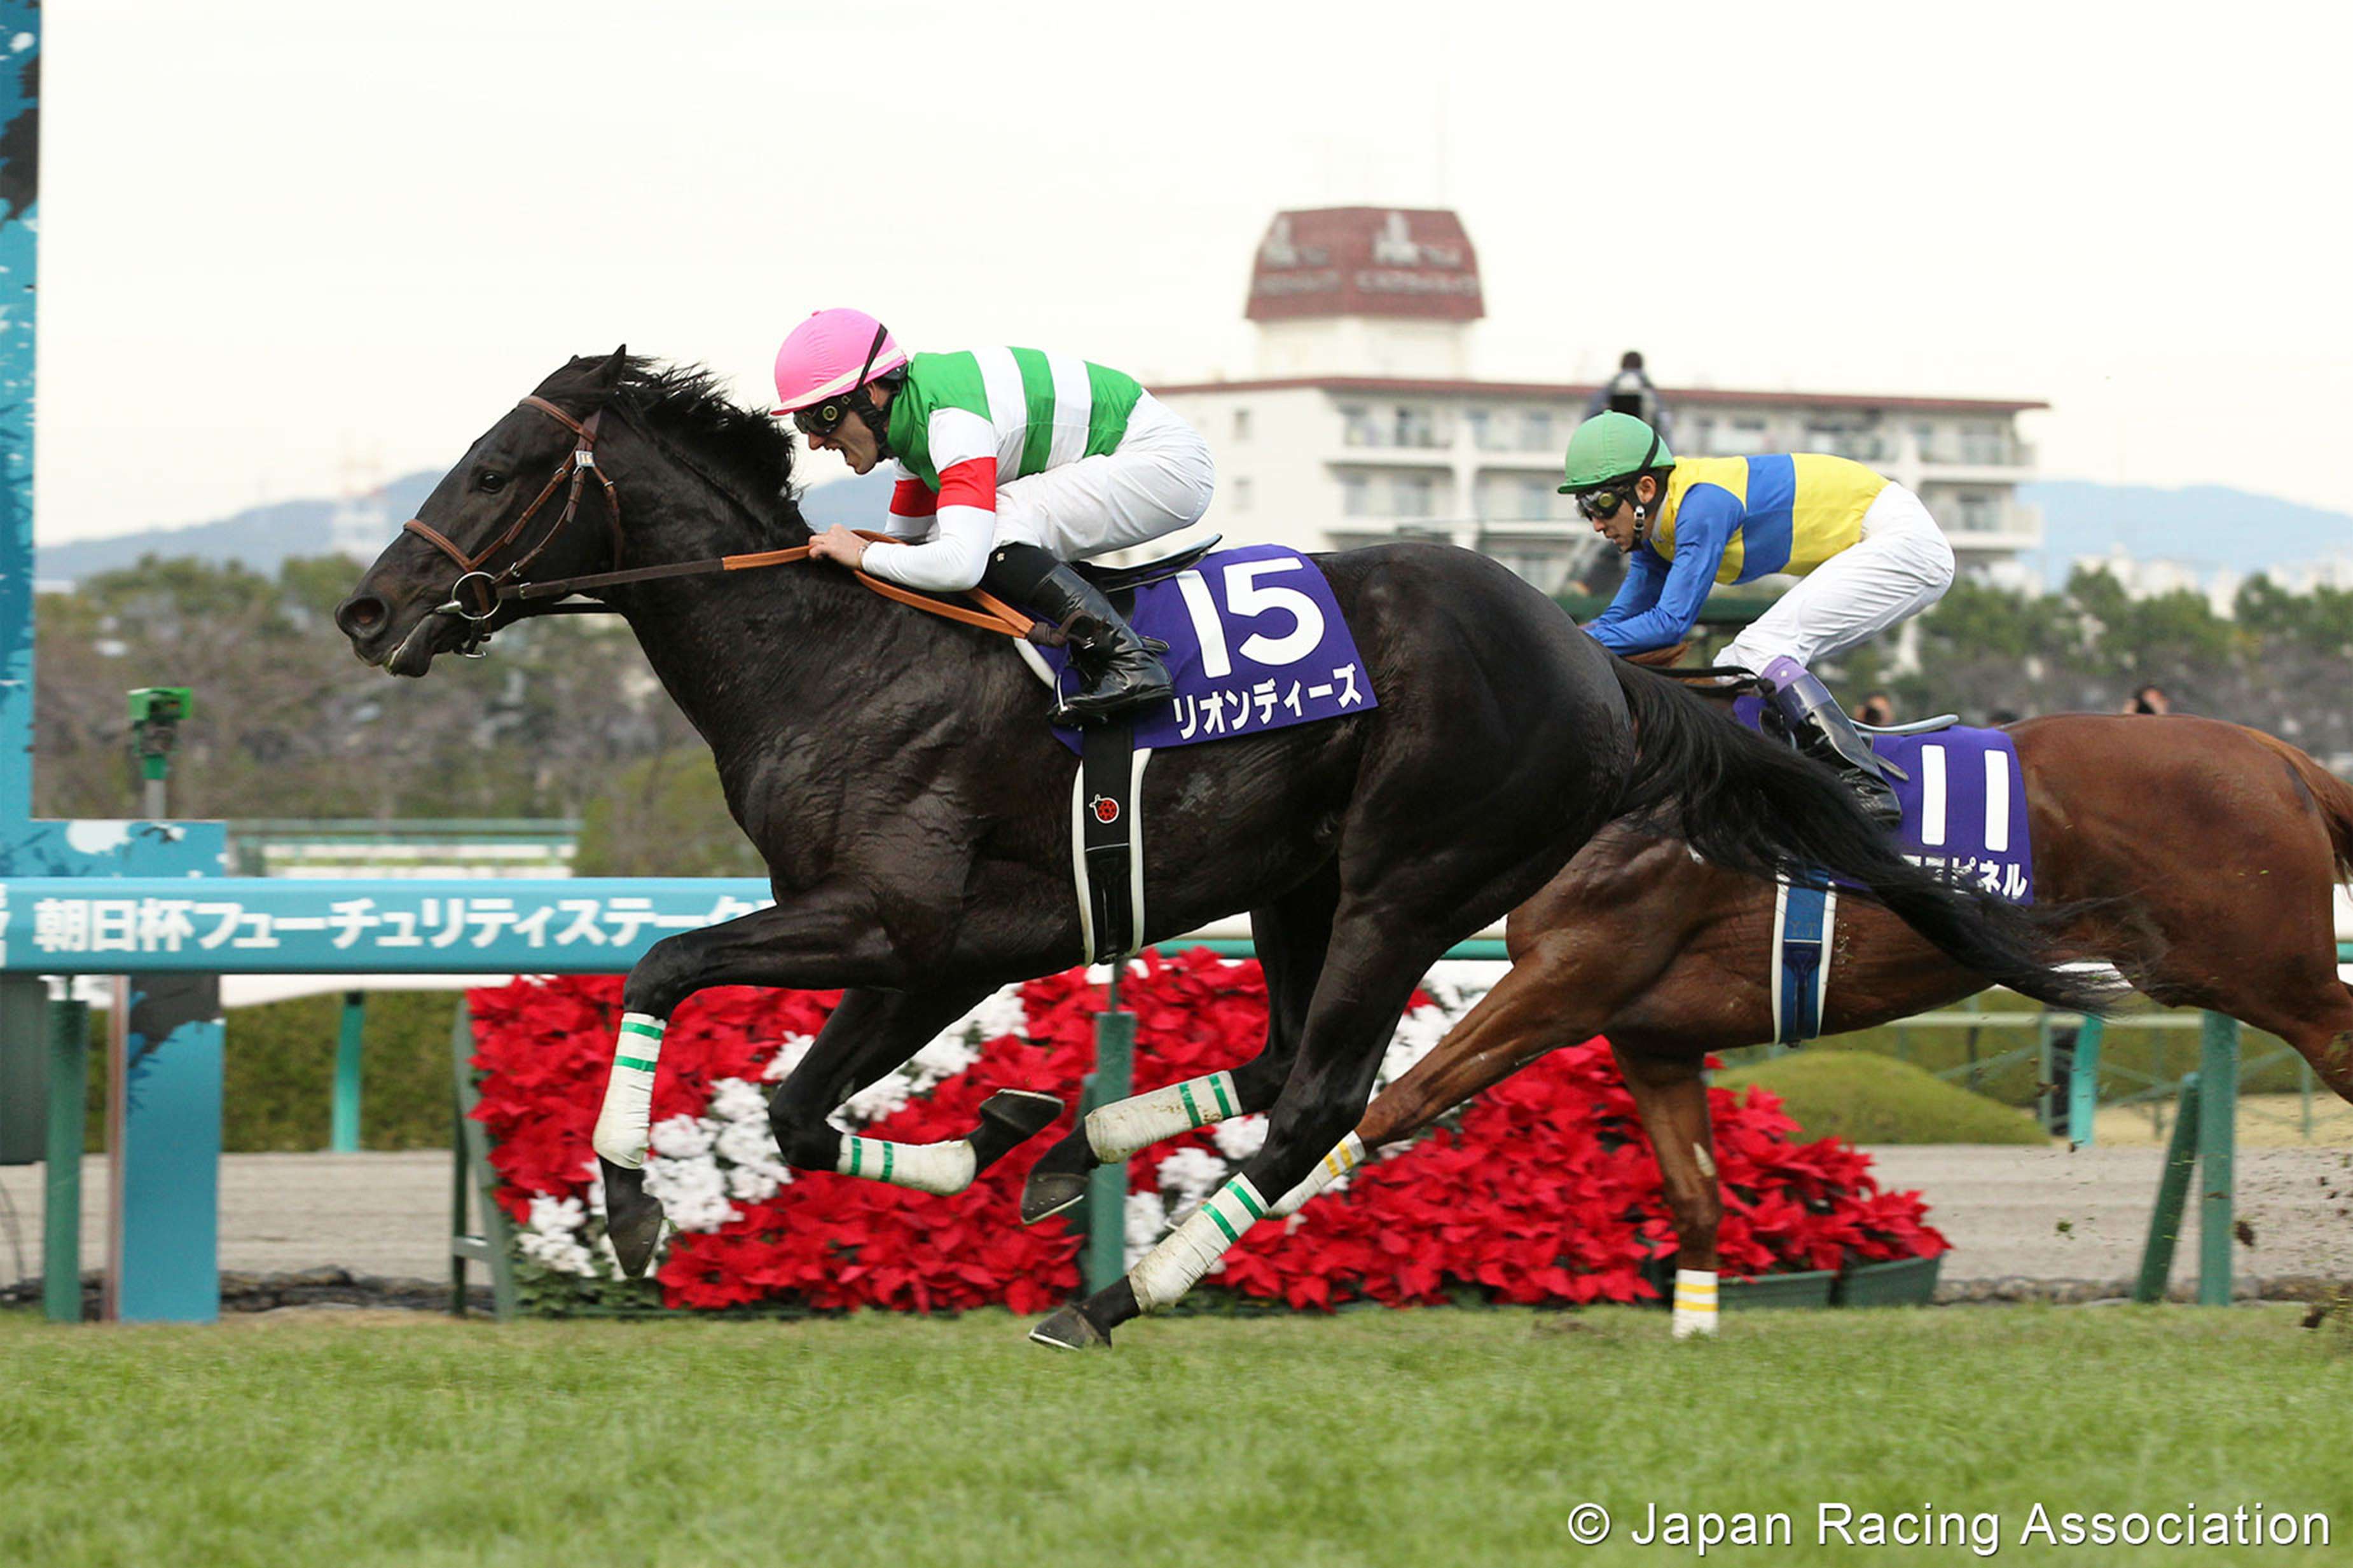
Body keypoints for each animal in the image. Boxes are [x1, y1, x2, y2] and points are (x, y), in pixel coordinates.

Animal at [341, 350, 2108, 1346]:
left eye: (496, 468)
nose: (368, 611)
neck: (833, 657)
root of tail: (1599, 665)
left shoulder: (883, 916)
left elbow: (660, 963)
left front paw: (629, 1200)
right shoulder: (938, 948)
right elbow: (788, 1107)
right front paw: (985, 1140)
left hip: (1408, 876)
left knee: (1322, 1097)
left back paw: (1112, 1297)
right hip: (1295, 884)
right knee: (1275, 1071)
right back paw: (1075, 1156)